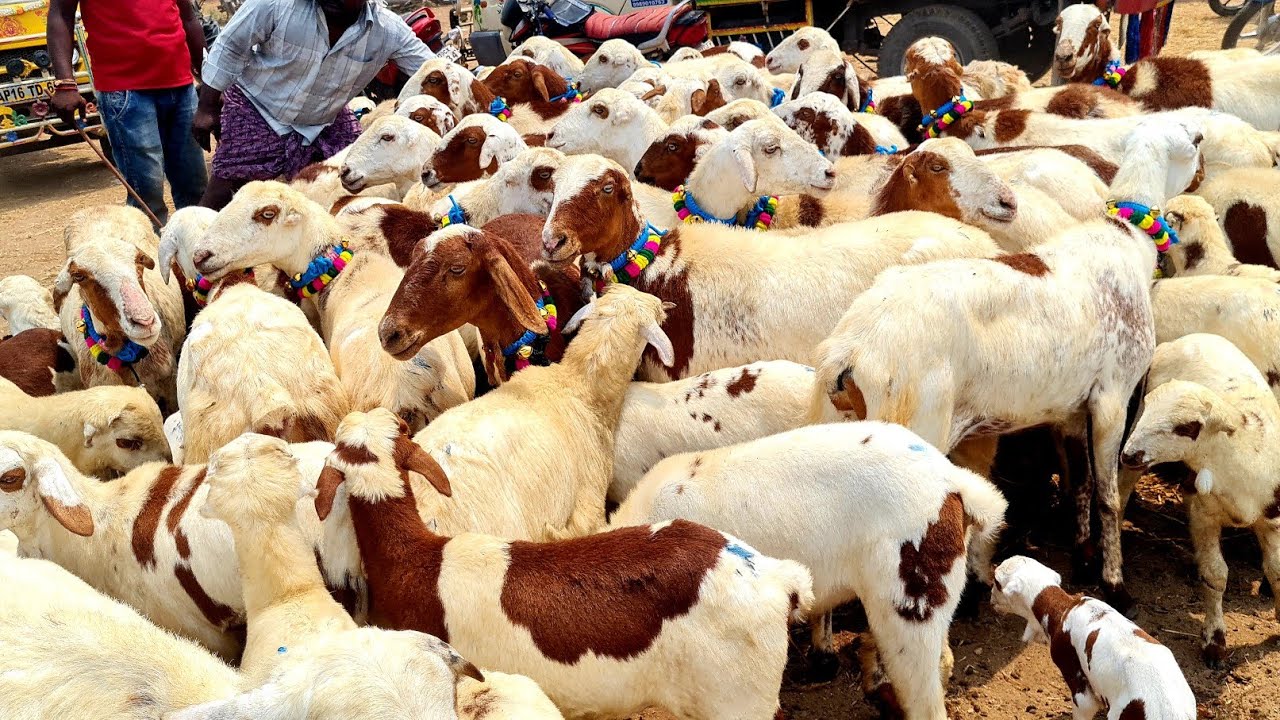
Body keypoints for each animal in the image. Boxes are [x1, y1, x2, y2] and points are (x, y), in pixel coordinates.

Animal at [54, 206, 185, 412]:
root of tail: (99, 207)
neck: (126, 360)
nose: (145, 321)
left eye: (139, 261)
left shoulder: (170, 385)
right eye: (79, 276)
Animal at [811, 119, 1203, 614]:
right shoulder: (1113, 396)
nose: (1202, 174)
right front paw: (1116, 584)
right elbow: (1108, 496)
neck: (1126, 238)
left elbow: (1079, 483)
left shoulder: (1071, 407)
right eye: (1196, 141)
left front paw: (1084, 558)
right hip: (915, 426)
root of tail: (851, 349)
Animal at [1120, 333, 1280, 666]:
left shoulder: (1272, 516)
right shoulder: (1204, 515)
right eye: (1150, 406)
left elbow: (1276, 570)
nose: (1129, 454)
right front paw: (1214, 643)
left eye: (1187, 428)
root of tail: (1186, 339)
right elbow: (1216, 575)